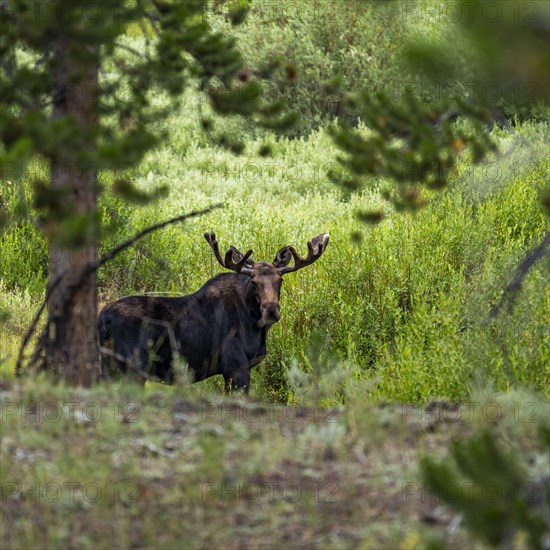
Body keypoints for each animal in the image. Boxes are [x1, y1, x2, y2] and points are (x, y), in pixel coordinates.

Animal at [97, 232, 330, 392]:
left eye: (279, 280)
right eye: (254, 282)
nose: (271, 311)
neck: (255, 325)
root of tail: (103, 319)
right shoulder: (235, 367)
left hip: (110, 367)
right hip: (132, 368)